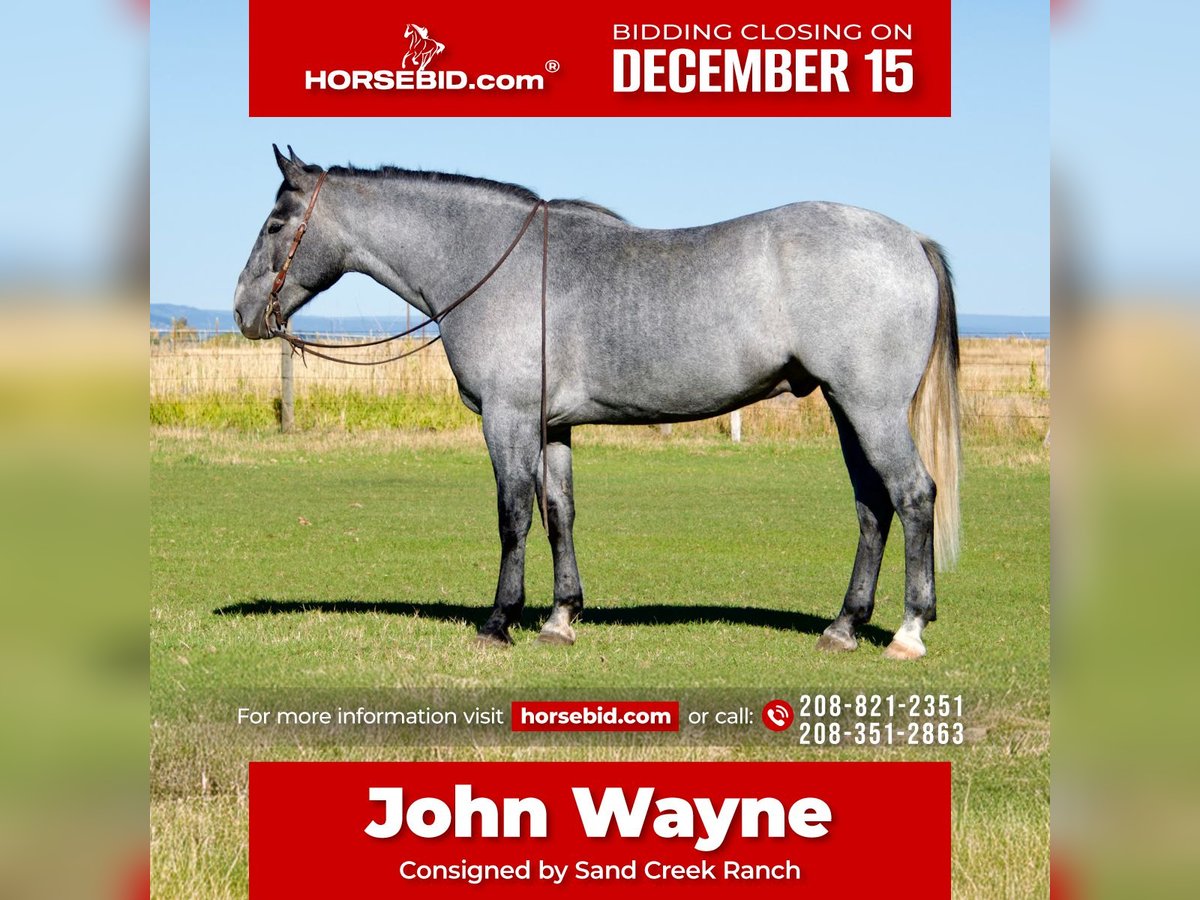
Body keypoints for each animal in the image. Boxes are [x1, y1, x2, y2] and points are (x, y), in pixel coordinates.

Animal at [234, 146, 961, 660]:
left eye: (274, 223)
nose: (242, 311)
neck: (493, 265)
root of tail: (909, 239)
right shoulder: (552, 426)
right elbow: (559, 512)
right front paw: (561, 617)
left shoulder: (508, 418)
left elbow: (513, 516)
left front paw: (499, 621)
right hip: (846, 410)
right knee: (872, 507)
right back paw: (844, 626)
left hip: (870, 410)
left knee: (912, 496)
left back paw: (909, 630)